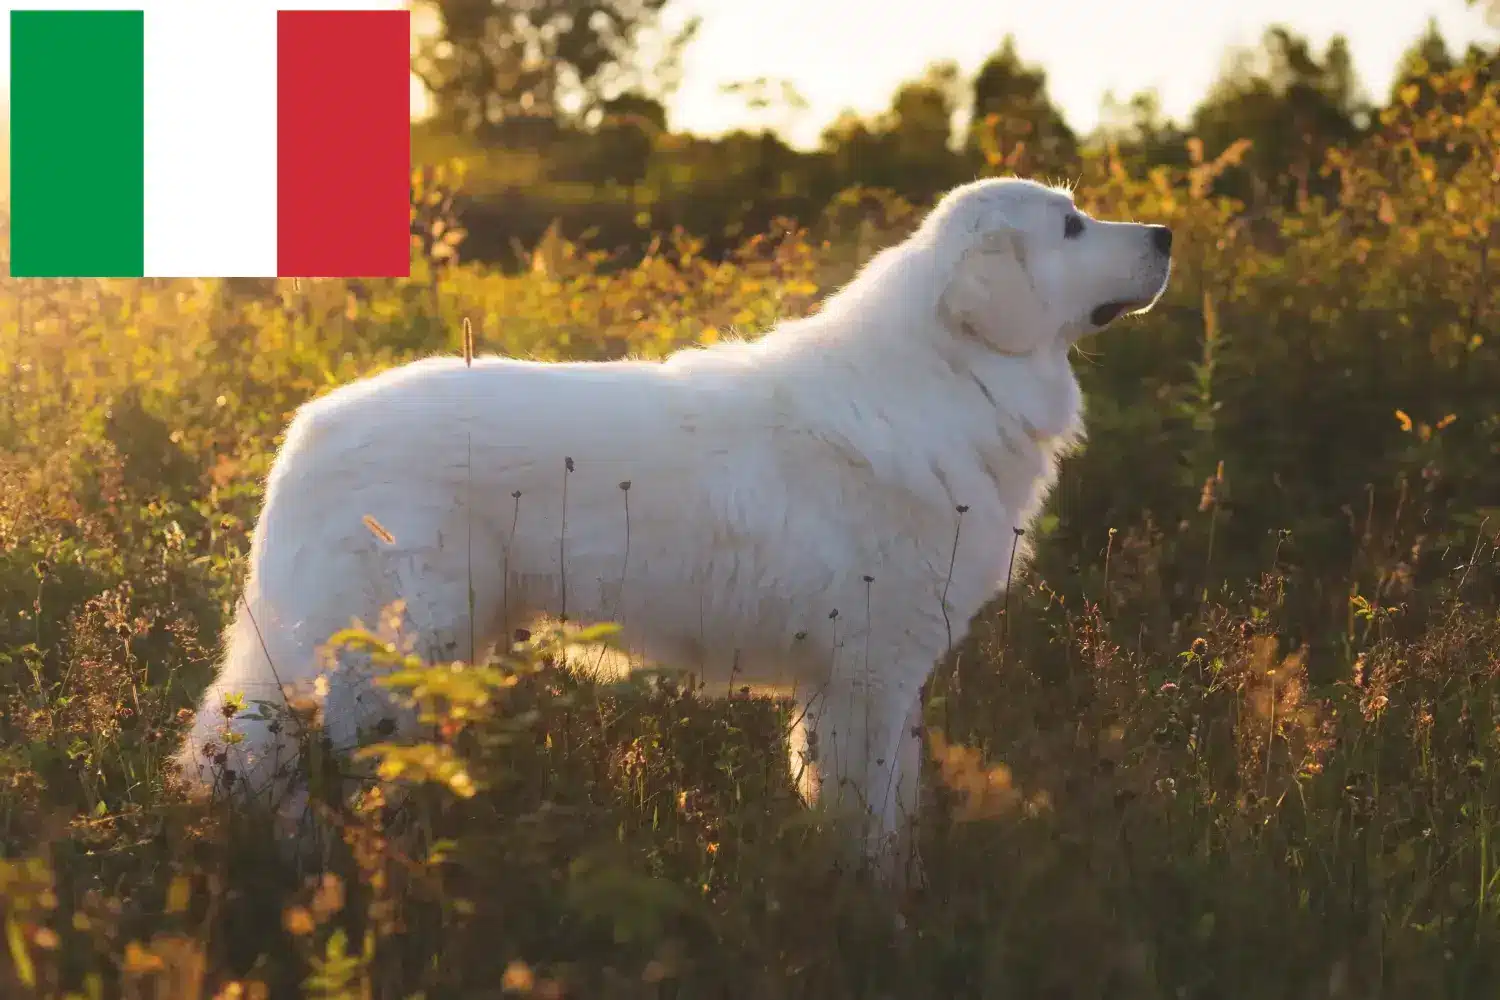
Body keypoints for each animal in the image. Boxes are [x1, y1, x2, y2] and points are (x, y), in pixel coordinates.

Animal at [175, 176, 1170, 881]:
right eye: (1072, 227)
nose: (1165, 236)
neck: (954, 373)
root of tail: (311, 425)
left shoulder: (849, 685)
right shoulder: (872, 675)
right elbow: (875, 820)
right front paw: (886, 917)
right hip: (381, 661)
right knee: (295, 778)